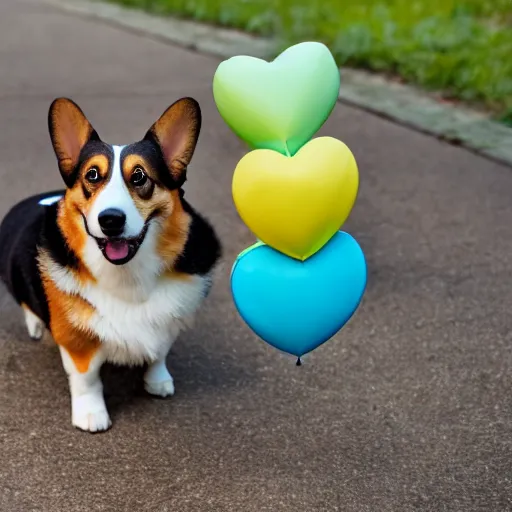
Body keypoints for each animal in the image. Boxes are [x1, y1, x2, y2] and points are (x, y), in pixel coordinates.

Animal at [0, 97, 220, 432]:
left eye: (140, 176)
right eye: (92, 175)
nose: (111, 220)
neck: (128, 277)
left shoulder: (170, 317)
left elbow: (159, 353)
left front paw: (158, 382)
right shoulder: (78, 341)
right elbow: (87, 378)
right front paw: (92, 415)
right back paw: (36, 326)